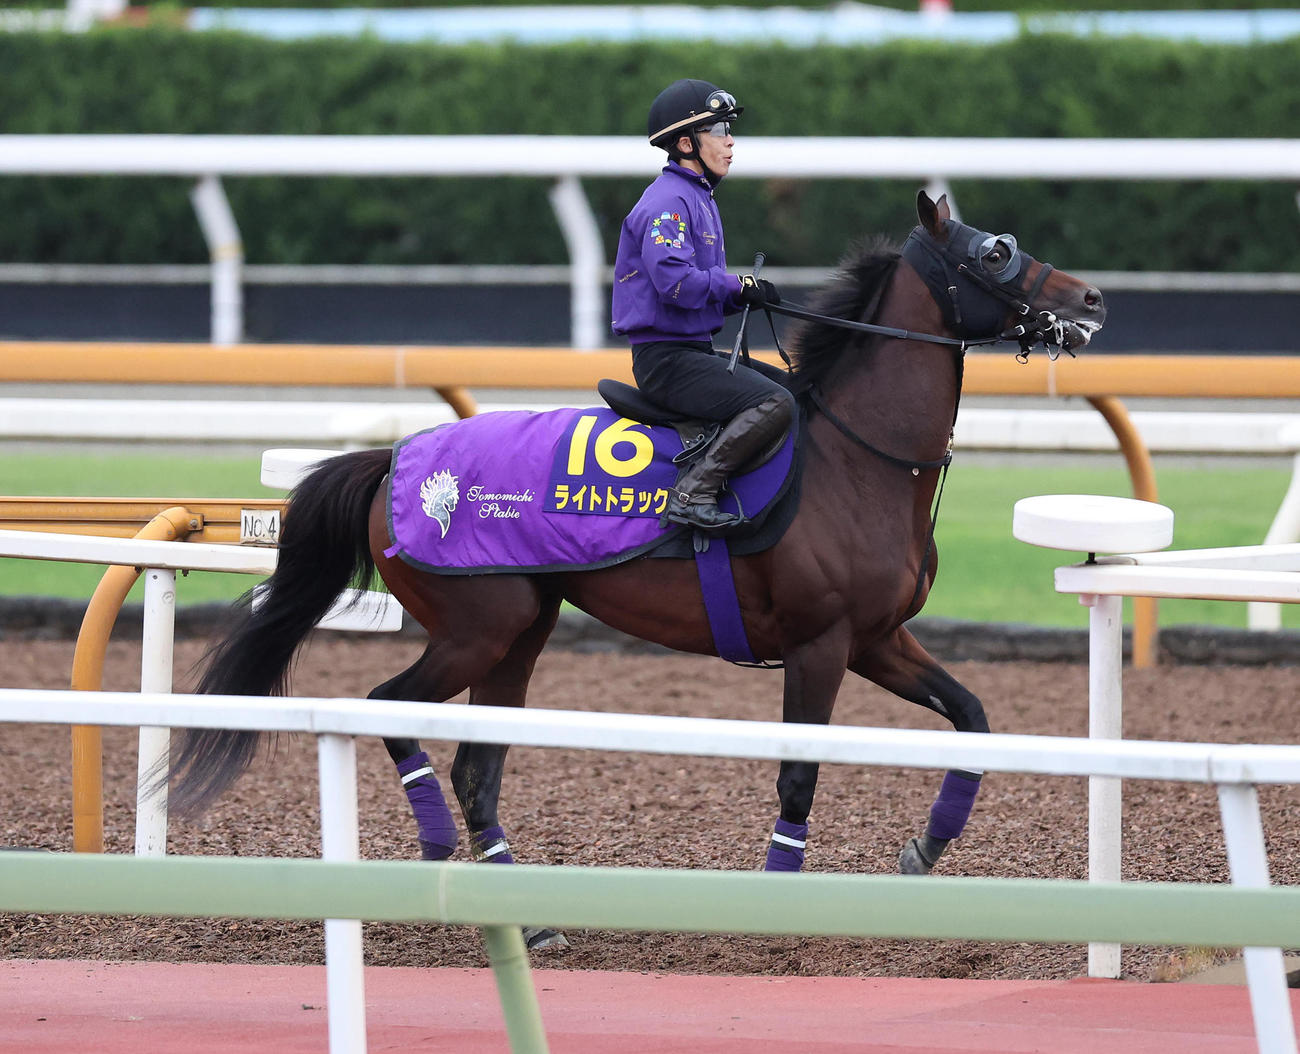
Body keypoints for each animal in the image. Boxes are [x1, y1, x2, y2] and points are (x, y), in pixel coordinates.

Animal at [169, 191, 1105, 948]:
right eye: (994, 251)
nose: (1090, 300)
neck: (857, 457)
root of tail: (394, 460)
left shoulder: (876, 639)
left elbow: (972, 715)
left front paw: (927, 845)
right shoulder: (821, 643)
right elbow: (799, 774)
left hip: (522, 630)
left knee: (478, 768)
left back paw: (526, 919)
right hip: (477, 628)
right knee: (390, 709)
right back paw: (438, 849)